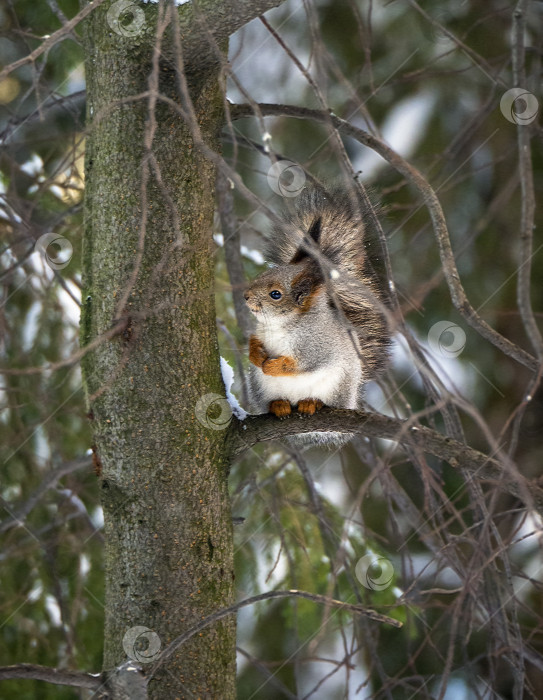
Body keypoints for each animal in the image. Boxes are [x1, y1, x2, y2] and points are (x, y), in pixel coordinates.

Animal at [244, 185, 394, 448]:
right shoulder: (260, 332)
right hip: (259, 387)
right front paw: (256, 353)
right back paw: (279, 404)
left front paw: (274, 364)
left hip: (337, 388)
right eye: (262, 275)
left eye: (275, 294)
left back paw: (311, 403)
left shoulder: (318, 346)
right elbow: (254, 343)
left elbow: (304, 363)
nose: (246, 296)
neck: (280, 325)